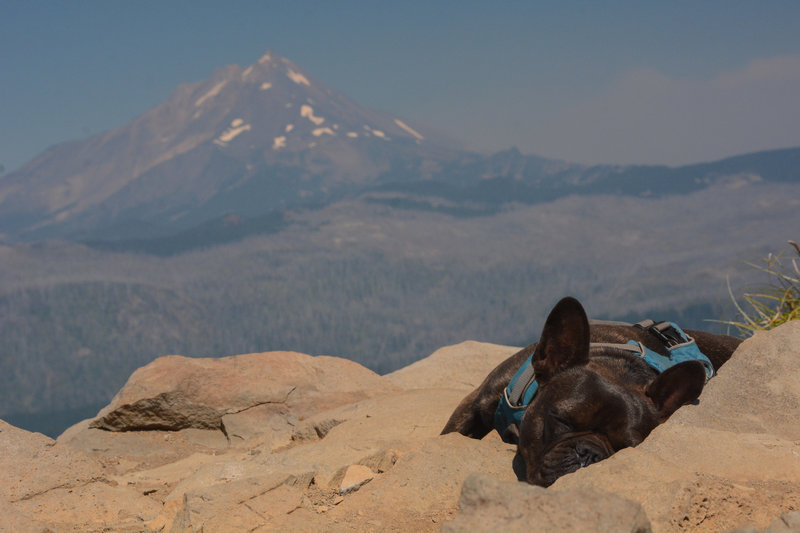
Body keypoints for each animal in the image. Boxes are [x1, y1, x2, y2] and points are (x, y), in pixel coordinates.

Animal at [440, 296, 740, 486]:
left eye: (624, 449)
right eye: (561, 421)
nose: (589, 454)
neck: (616, 363)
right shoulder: (475, 404)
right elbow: (451, 432)